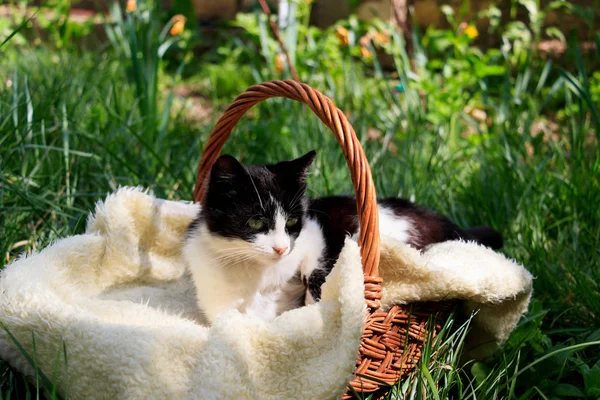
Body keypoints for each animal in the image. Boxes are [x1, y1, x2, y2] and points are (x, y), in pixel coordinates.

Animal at [183, 152, 502, 324]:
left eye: (292, 221)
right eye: (256, 221)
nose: (282, 248)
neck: (256, 273)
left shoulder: (316, 233)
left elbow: (315, 277)